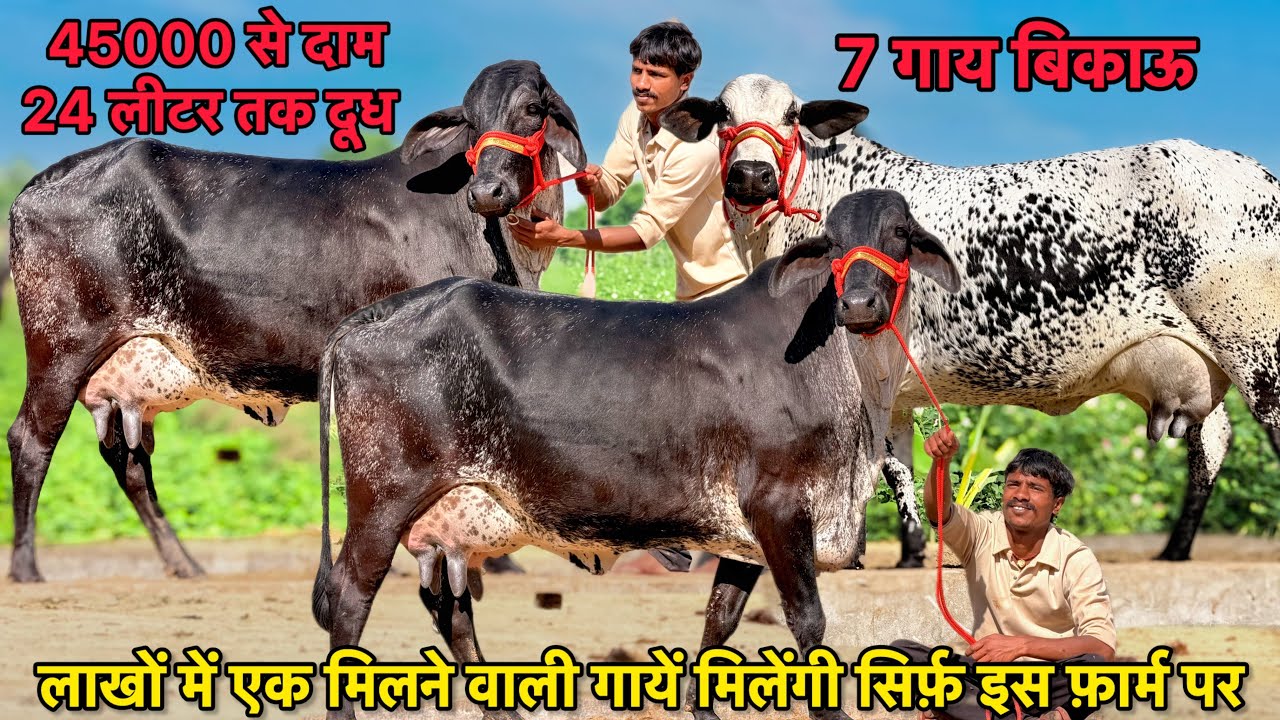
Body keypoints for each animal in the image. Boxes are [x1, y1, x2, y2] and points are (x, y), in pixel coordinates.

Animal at [5, 60, 585, 583]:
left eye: (532, 110)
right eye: (469, 118)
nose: (486, 191)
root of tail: (35, 187)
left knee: (128, 462)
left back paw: (184, 564)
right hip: (61, 343)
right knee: (30, 438)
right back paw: (26, 566)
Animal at [312, 190, 962, 720]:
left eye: (899, 234)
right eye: (833, 244)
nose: (860, 304)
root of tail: (373, 317)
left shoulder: (746, 535)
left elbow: (719, 621)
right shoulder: (779, 510)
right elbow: (808, 621)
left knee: (451, 611)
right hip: (382, 500)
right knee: (350, 598)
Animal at [661, 74, 1280, 563]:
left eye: (791, 115)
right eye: (722, 114)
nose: (752, 176)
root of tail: (1256, 173)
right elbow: (897, 466)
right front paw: (912, 552)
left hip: (1255, 348)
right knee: (1211, 446)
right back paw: (1176, 549)